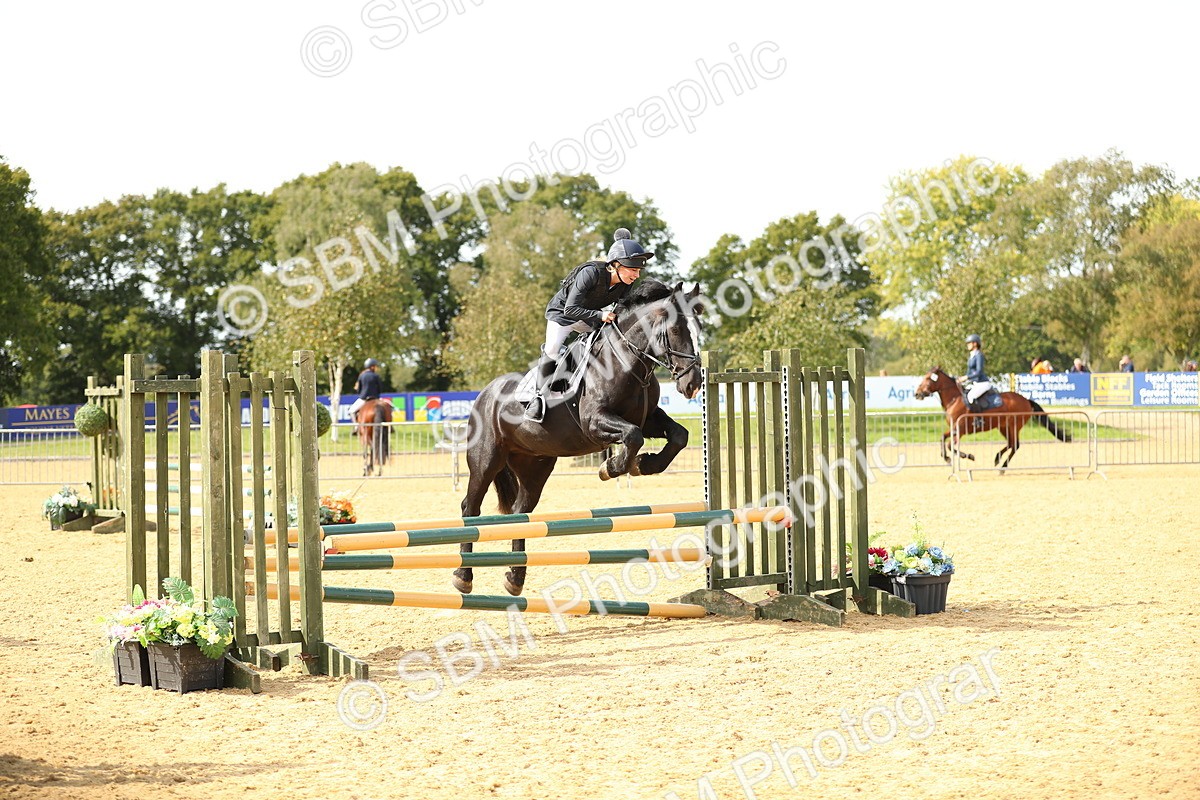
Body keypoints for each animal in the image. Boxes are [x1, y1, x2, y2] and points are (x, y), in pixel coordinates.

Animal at [454, 280, 704, 596]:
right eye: (676, 331)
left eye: (699, 328)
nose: (693, 384)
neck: (626, 361)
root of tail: (484, 394)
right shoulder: (595, 422)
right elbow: (633, 438)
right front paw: (611, 468)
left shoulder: (649, 419)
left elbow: (678, 436)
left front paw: (643, 465)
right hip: (486, 460)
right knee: (470, 507)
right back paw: (463, 576)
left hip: (534, 464)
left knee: (522, 512)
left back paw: (515, 578)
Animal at [914, 366, 1071, 469]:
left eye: (927, 379)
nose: (917, 394)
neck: (954, 399)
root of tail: (1026, 400)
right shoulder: (953, 429)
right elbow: (942, 438)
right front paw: (947, 458)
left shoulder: (960, 430)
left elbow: (949, 445)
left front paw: (968, 456)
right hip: (1004, 427)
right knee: (1011, 444)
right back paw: (997, 459)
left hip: (1014, 425)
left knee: (1015, 445)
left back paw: (1003, 466)